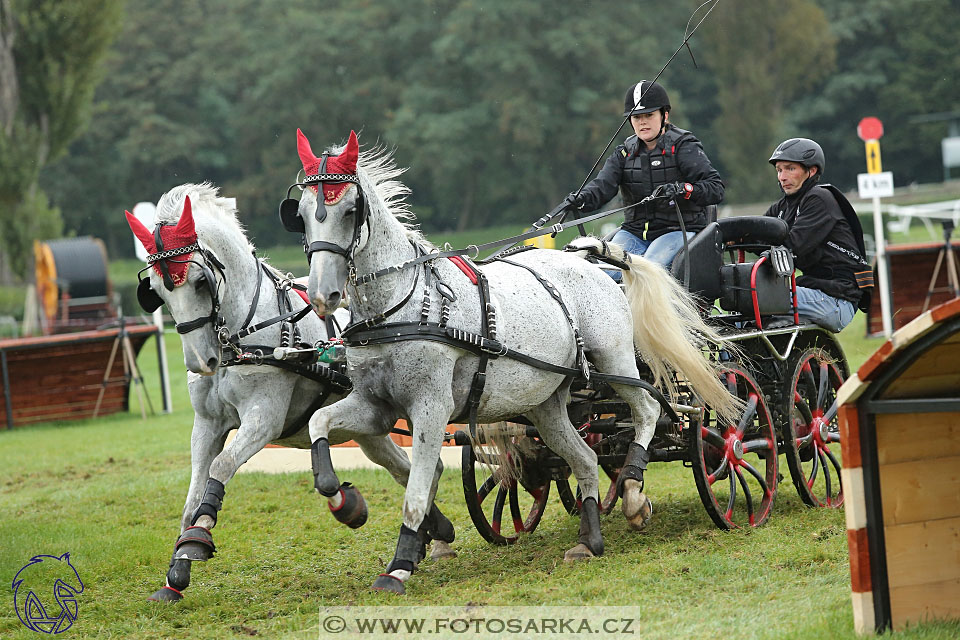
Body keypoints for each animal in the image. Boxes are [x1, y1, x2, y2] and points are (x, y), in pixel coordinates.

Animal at [125, 182, 456, 604]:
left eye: (200, 282)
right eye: (155, 291)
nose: (201, 361)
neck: (242, 335)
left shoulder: (264, 418)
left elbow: (221, 466)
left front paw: (198, 538)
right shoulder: (207, 424)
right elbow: (191, 498)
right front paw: (176, 572)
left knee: (425, 466)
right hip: (370, 430)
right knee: (412, 468)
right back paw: (437, 532)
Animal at [288, 130, 740, 596]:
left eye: (349, 210)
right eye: (301, 214)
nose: (323, 295)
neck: (403, 304)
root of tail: (590, 259)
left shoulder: (430, 408)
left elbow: (416, 488)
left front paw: (400, 564)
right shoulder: (376, 406)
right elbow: (320, 422)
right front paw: (343, 501)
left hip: (616, 360)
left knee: (649, 410)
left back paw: (634, 489)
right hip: (547, 404)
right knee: (585, 457)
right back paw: (589, 540)